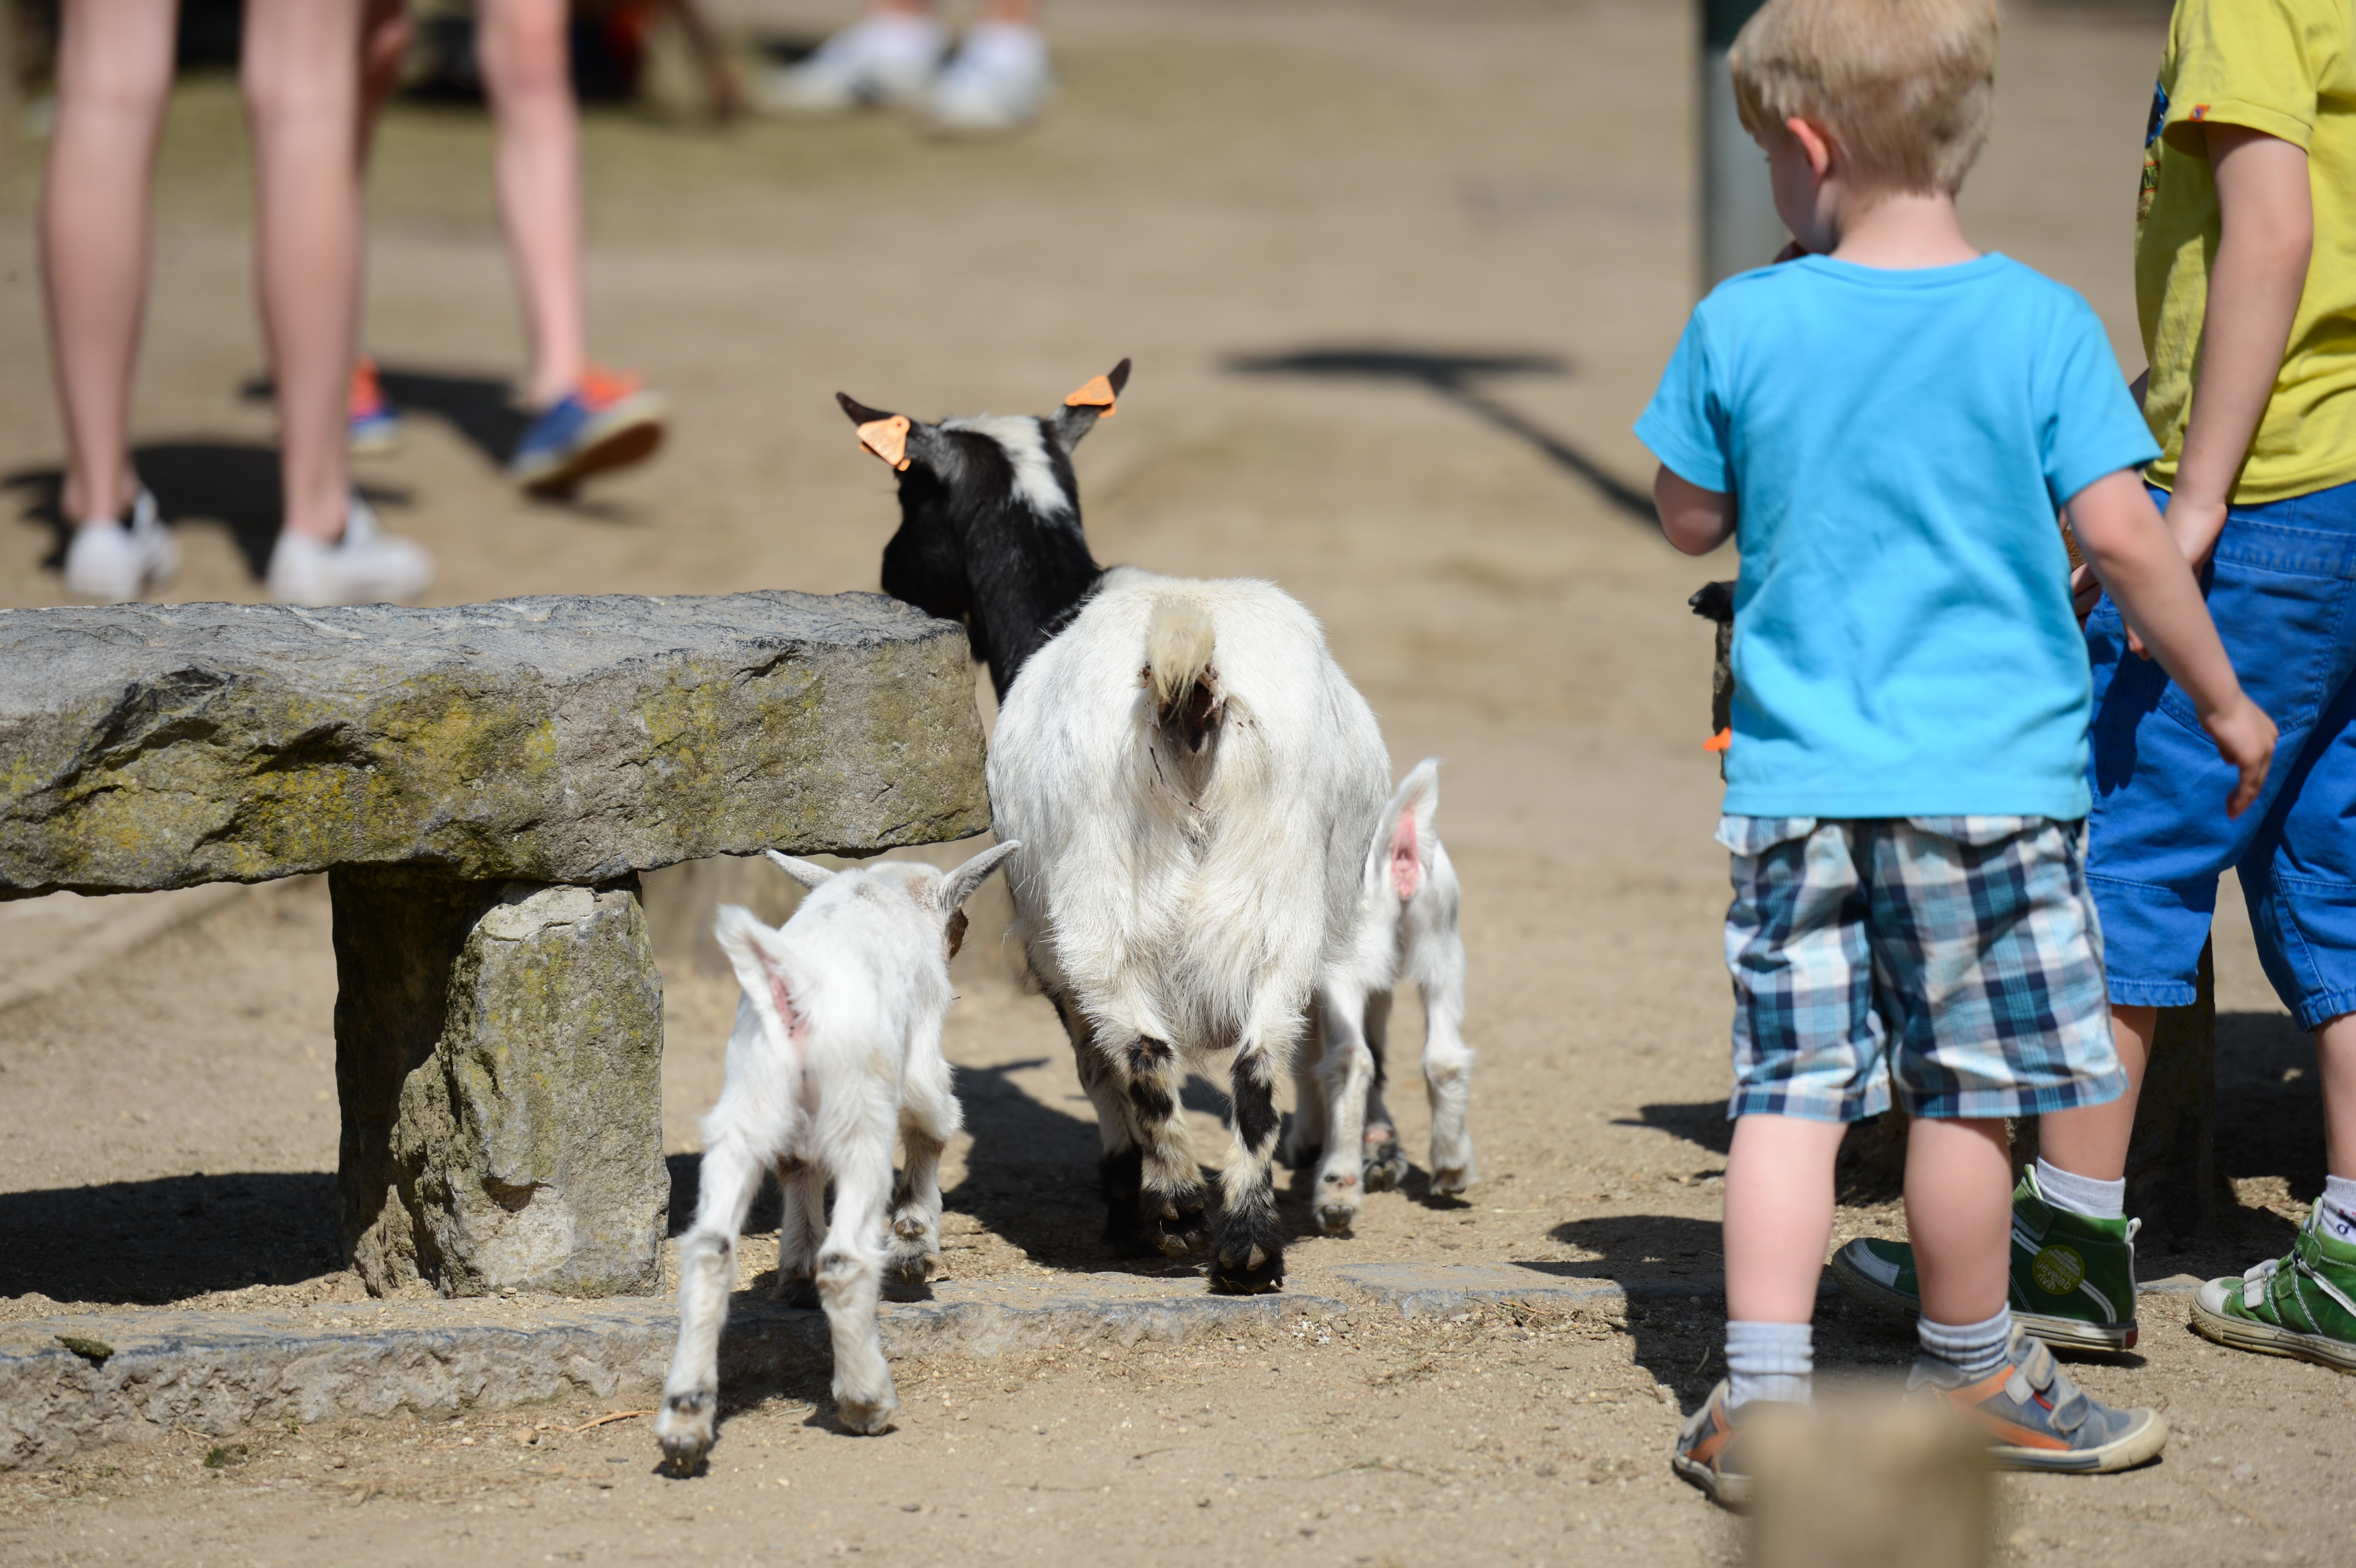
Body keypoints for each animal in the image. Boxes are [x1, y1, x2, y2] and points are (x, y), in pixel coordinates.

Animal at [655, 841, 1019, 1471]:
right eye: (962, 920)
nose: (957, 939)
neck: (878, 891)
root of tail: (795, 988)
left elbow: (799, 1168)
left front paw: (795, 1274)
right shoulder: (920, 1054)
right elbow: (932, 1124)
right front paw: (915, 1243)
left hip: (745, 1106)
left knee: (709, 1249)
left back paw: (685, 1421)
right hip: (859, 1113)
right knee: (846, 1258)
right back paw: (865, 1401)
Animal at [836, 363, 1391, 1291]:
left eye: (905, 489)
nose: (886, 574)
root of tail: (1189, 665)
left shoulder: (1044, 940)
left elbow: (1094, 1065)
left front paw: (1128, 1202)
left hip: (1098, 893)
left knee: (1141, 1050)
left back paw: (1176, 1206)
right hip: (1285, 896)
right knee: (1259, 1063)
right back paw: (1249, 1243)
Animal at [1281, 758, 1475, 1234]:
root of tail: (1396, 845)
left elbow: (1304, 1058)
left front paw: (1306, 1140)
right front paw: (1382, 1145)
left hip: (1347, 962)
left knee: (1350, 1059)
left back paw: (1338, 1192)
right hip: (1442, 947)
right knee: (1442, 1055)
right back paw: (1450, 1168)